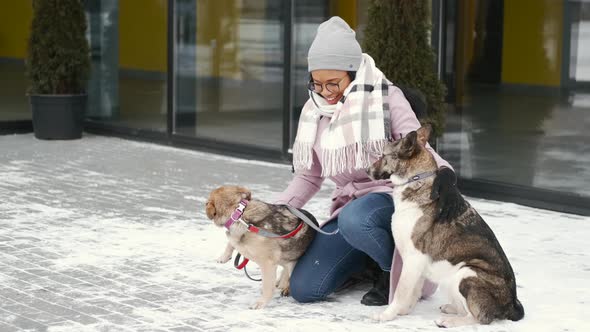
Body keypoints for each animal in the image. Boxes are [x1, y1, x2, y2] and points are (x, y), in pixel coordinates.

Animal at [368, 126, 524, 328]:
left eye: (383, 155)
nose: (366, 170)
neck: (416, 180)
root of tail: (512, 303)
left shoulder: (413, 259)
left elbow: (401, 292)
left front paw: (387, 314)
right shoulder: (417, 265)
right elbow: (413, 292)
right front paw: (403, 311)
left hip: (465, 273)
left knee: (479, 317)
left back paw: (449, 321)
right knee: (465, 309)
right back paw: (451, 309)